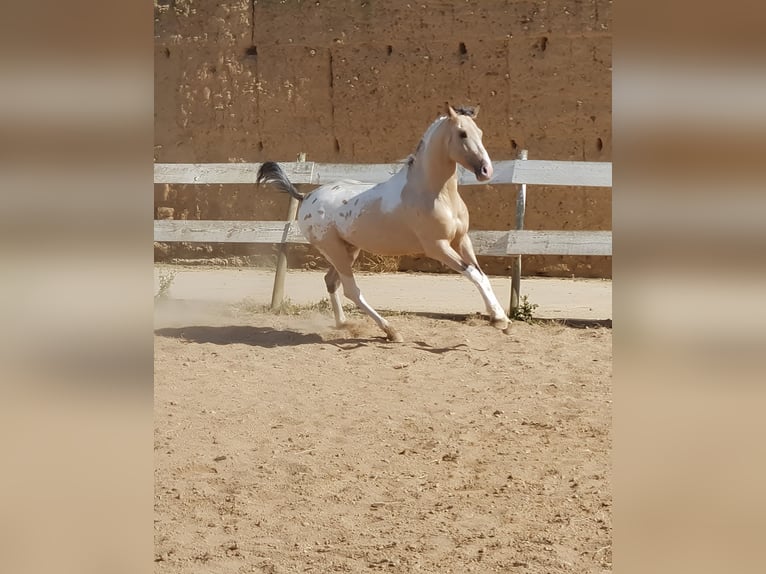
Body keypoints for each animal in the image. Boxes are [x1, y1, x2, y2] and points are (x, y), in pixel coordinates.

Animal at [257, 103, 510, 342]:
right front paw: (499, 320)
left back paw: (345, 324)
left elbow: (481, 275)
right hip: (334, 250)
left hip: (349, 250)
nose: (486, 170)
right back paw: (391, 331)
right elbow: (473, 274)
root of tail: (305, 197)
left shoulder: (461, 240)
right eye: (462, 134)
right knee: (351, 290)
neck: (434, 193)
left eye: (480, 132)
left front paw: (501, 320)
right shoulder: (437, 247)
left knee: (331, 281)